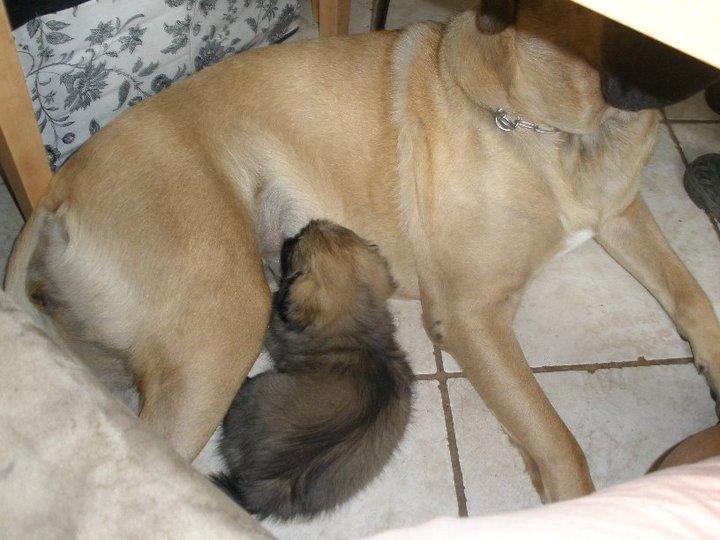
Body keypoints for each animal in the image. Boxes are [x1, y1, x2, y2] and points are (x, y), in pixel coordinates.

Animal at [212, 219, 413, 519]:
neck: (353, 327)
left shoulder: (275, 333)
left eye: (296, 247)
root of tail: (265, 484)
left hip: (258, 389)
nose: (287, 238)